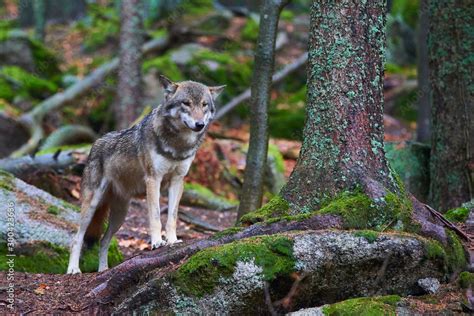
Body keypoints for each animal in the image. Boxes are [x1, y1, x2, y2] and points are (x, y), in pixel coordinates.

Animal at [65, 75, 226, 272]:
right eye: (186, 103)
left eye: (204, 105)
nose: (199, 124)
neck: (178, 144)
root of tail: (95, 144)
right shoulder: (153, 179)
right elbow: (155, 216)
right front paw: (157, 242)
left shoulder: (178, 180)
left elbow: (172, 217)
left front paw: (173, 240)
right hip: (92, 205)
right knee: (76, 238)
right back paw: (73, 270)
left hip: (120, 215)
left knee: (103, 241)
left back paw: (103, 270)